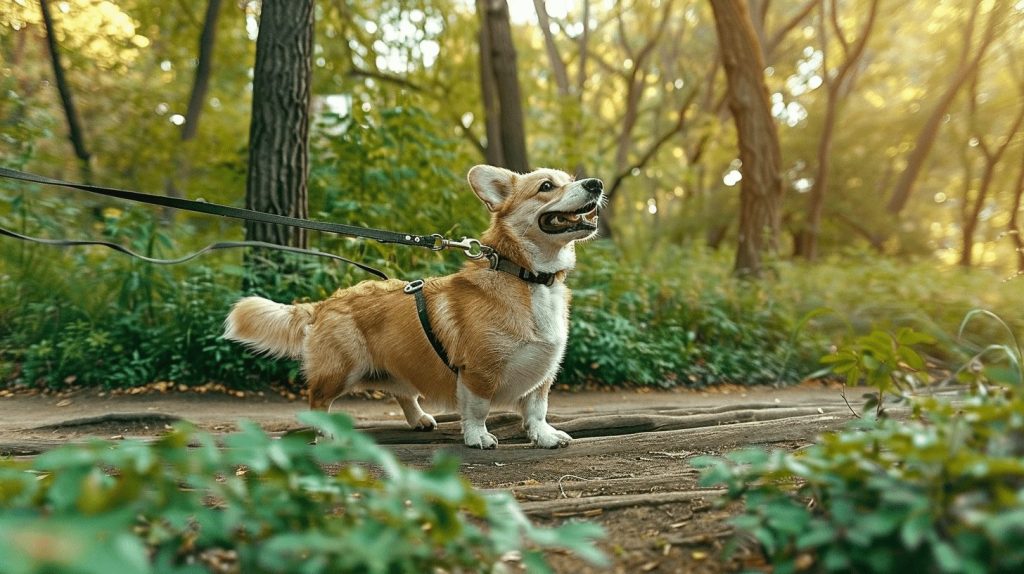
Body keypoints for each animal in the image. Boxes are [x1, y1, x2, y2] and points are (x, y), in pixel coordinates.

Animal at [224, 165, 602, 448]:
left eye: (571, 179)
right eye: (546, 186)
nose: (595, 184)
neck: (529, 277)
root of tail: (324, 304)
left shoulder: (543, 376)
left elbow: (537, 410)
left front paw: (545, 436)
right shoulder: (478, 372)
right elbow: (477, 409)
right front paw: (478, 437)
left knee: (403, 393)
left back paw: (419, 419)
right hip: (342, 371)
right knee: (317, 401)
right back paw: (327, 433)